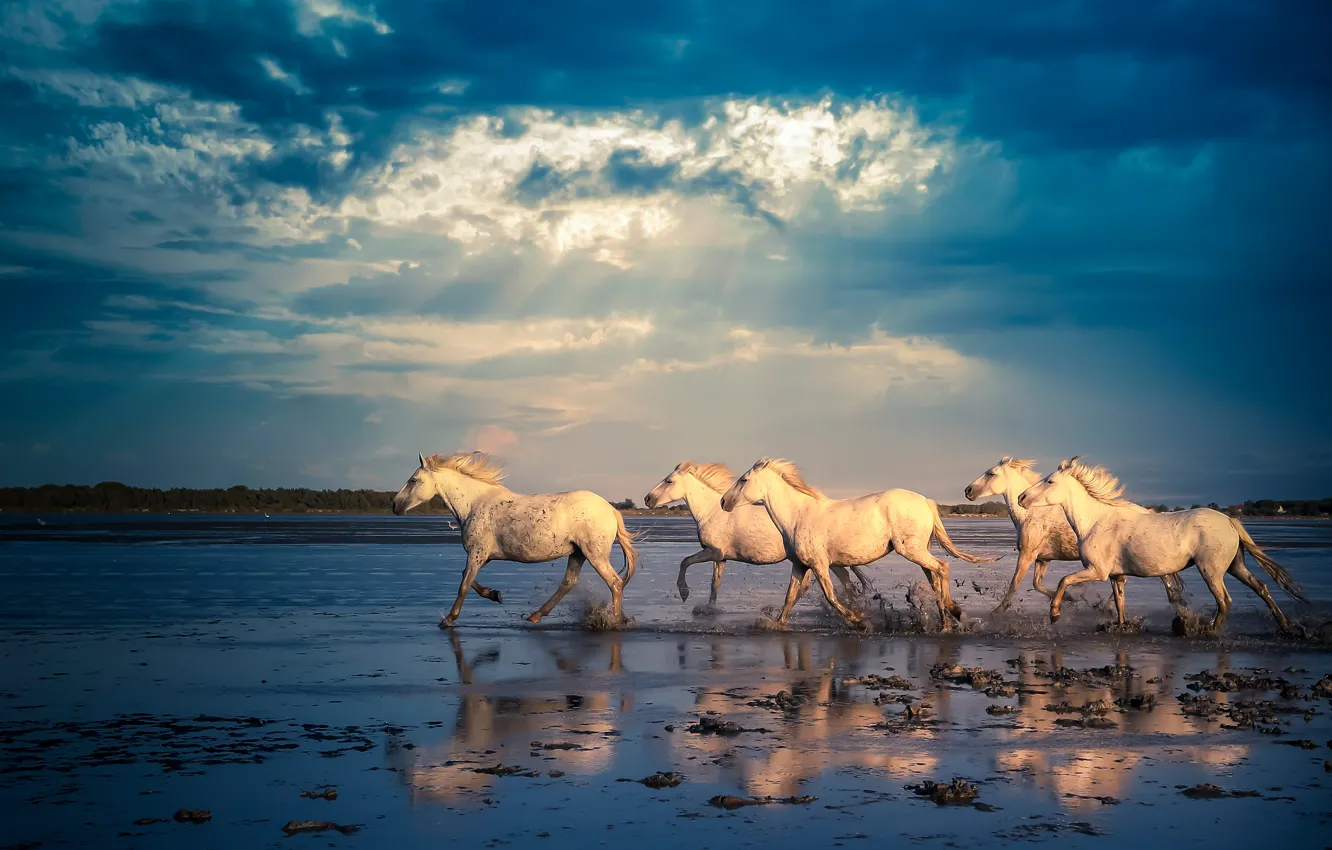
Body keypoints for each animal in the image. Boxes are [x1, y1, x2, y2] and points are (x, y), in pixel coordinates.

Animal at [392, 452, 639, 627]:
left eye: (413, 480)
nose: (394, 505)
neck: (474, 505)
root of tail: (611, 509)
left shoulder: (477, 553)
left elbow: (464, 585)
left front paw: (449, 619)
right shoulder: (484, 556)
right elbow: (466, 578)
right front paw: (494, 594)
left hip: (594, 554)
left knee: (615, 583)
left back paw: (616, 621)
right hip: (578, 553)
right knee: (569, 583)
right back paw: (535, 616)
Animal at [644, 461, 870, 606]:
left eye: (669, 481)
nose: (647, 499)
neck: (711, 512)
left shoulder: (713, 552)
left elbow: (685, 561)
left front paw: (684, 593)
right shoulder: (721, 558)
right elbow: (714, 584)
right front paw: (709, 609)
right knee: (844, 582)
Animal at [720, 458, 996, 630]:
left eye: (744, 480)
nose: (723, 502)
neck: (799, 516)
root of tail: (925, 501)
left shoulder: (820, 565)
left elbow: (831, 596)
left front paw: (859, 621)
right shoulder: (800, 565)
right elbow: (789, 598)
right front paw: (777, 623)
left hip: (911, 549)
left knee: (942, 568)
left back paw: (954, 613)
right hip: (919, 550)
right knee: (934, 576)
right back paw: (945, 621)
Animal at [965, 457, 1183, 614]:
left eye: (990, 473)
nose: (968, 490)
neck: (1031, 514)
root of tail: (1149, 512)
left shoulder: (1027, 554)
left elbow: (1015, 584)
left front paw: (997, 611)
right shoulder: (1042, 559)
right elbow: (1037, 584)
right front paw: (1068, 599)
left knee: (1163, 577)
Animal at [1017, 457, 1304, 633]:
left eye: (1050, 481)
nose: (1021, 497)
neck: (1096, 521)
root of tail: (1229, 520)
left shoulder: (1097, 571)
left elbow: (1063, 580)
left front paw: (1054, 614)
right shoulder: (1117, 576)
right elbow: (1119, 604)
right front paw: (1121, 626)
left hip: (1211, 570)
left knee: (1225, 601)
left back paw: (1210, 631)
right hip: (1235, 566)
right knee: (1262, 587)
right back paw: (1285, 626)